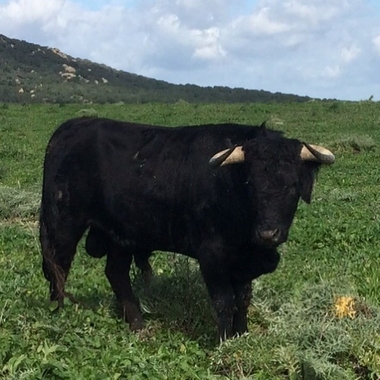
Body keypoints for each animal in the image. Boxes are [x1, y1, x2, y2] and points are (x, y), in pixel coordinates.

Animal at [40, 117, 334, 340]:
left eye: (293, 186)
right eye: (250, 184)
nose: (268, 234)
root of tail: (71, 127)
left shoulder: (243, 262)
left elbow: (243, 298)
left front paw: (242, 334)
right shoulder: (212, 255)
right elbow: (224, 301)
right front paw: (223, 342)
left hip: (122, 234)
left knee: (116, 273)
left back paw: (137, 324)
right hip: (63, 222)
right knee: (58, 267)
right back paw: (58, 313)